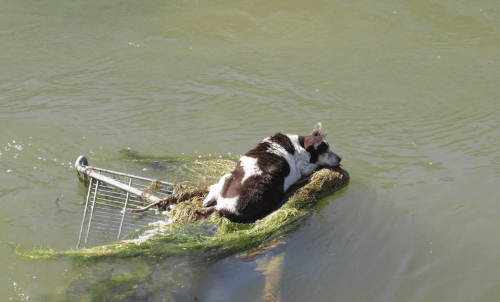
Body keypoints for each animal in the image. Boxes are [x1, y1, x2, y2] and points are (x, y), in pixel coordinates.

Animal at [202, 121, 340, 223]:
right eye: (326, 151)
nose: (340, 158)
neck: (301, 146)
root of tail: (224, 208)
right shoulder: (303, 167)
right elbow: (315, 165)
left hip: (228, 176)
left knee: (214, 187)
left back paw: (207, 201)